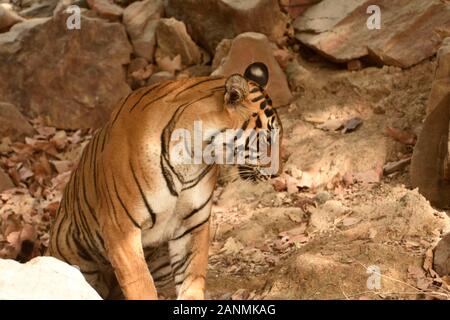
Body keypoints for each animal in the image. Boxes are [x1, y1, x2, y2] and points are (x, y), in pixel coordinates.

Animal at [47, 62, 284, 300]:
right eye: (267, 138)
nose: (277, 174)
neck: (192, 155)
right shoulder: (121, 229)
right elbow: (141, 285)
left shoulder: (192, 223)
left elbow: (192, 278)